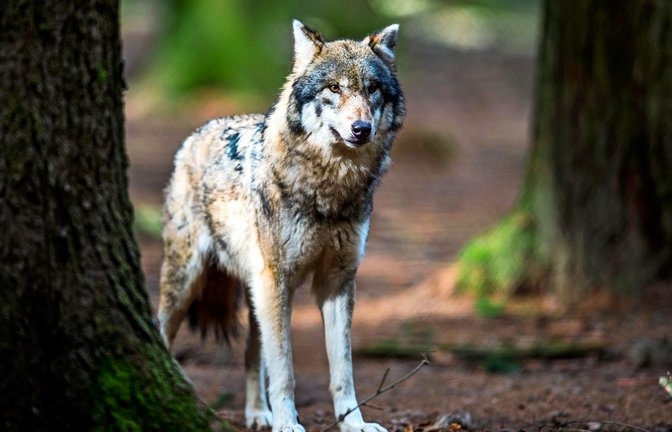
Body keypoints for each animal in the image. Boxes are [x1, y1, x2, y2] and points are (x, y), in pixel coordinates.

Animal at [157, 20, 405, 432]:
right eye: (333, 88)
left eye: (372, 88)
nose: (361, 128)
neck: (329, 190)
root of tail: (198, 132)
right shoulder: (278, 279)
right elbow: (285, 369)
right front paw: (288, 423)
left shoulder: (337, 281)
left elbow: (343, 370)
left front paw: (353, 423)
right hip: (191, 281)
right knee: (161, 328)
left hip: (258, 291)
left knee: (251, 354)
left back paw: (258, 414)